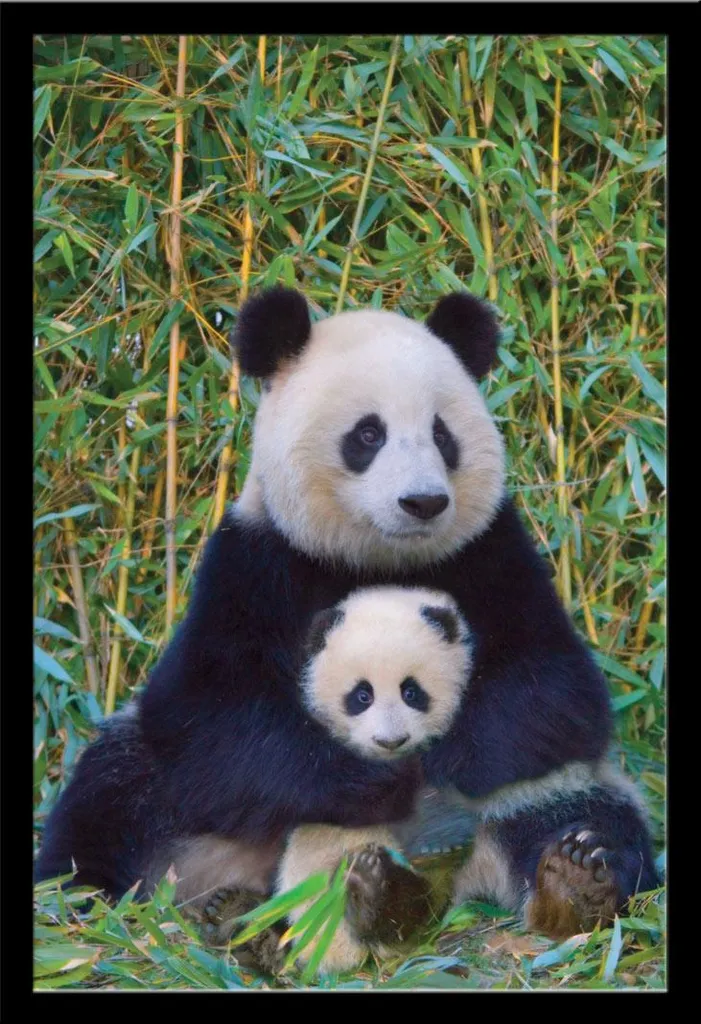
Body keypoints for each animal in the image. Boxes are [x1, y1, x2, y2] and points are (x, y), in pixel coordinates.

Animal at [36, 286, 658, 969]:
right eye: (368, 434)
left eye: (442, 435)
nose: (423, 502)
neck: (378, 559)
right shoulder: (254, 563)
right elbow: (208, 716)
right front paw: (378, 781)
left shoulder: (492, 552)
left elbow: (555, 691)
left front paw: (444, 755)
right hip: (178, 817)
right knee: (110, 794)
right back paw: (118, 908)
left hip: (543, 796)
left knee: (584, 812)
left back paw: (571, 884)